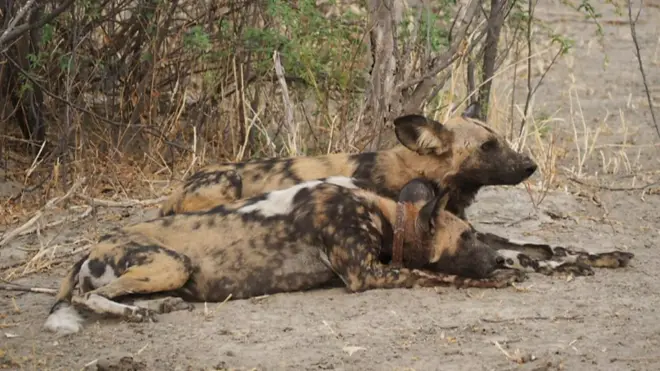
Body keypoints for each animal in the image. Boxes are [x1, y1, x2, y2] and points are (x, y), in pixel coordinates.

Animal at [42, 177, 524, 338]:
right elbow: (440, 277)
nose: (498, 260)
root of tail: (92, 245)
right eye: (468, 236)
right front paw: (493, 280)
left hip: (169, 270)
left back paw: (160, 306)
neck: (385, 217)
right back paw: (136, 313)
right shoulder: (367, 275)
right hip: (173, 263)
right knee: (87, 297)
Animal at [156, 104, 636, 276]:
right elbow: (521, 253)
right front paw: (562, 267)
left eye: (500, 140)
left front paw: (601, 256)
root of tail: (172, 196)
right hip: (227, 187)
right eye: (487, 147)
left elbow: (541, 245)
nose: (530, 165)